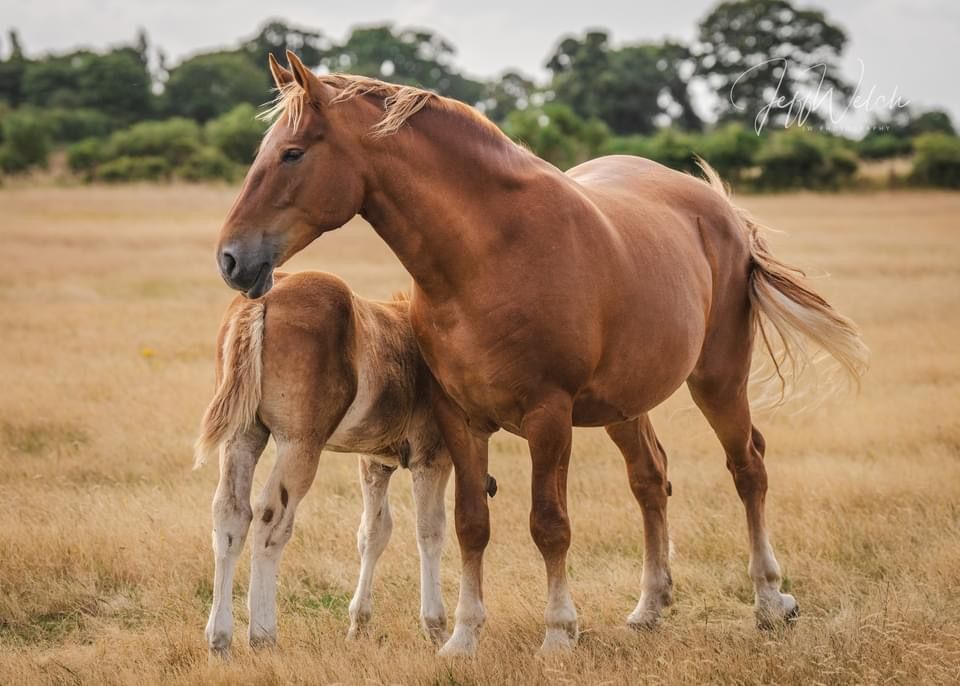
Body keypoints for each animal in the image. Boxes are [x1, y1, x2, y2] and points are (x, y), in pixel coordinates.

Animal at [195, 271, 495, 654]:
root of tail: (261, 301)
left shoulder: (374, 462)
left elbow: (373, 532)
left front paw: (359, 624)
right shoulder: (432, 456)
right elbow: (430, 531)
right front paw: (436, 628)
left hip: (243, 435)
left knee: (231, 515)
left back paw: (219, 640)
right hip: (299, 445)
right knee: (270, 519)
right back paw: (262, 635)